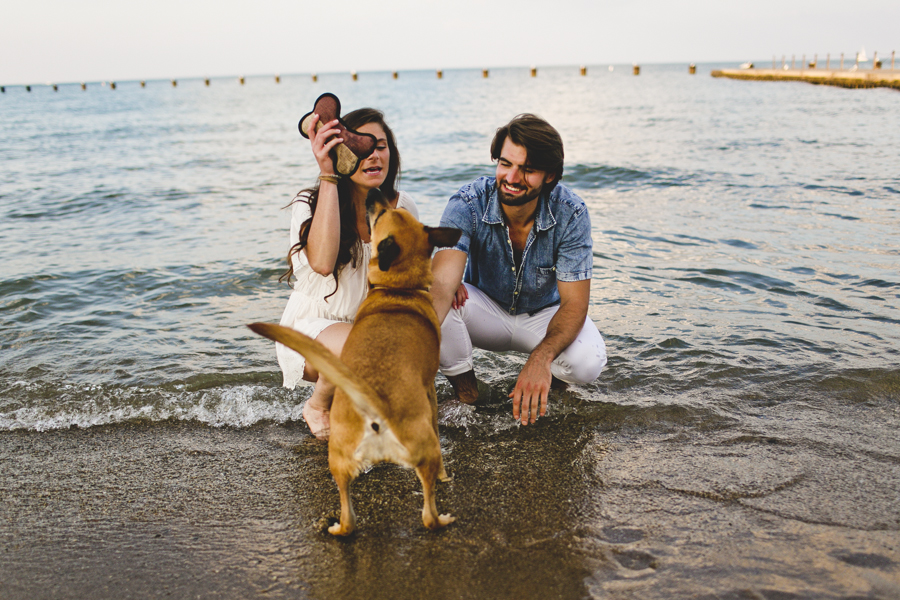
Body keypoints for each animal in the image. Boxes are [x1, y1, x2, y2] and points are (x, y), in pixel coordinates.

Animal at [250, 189, 460, 536]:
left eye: (382, 213)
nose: (376, 192)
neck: (398, 290)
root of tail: (373, 402)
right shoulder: (429, 390)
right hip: (424, 449)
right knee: (428, 514)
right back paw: (442, 518)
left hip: (338, 458)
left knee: (348, 516)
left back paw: (336, 527)